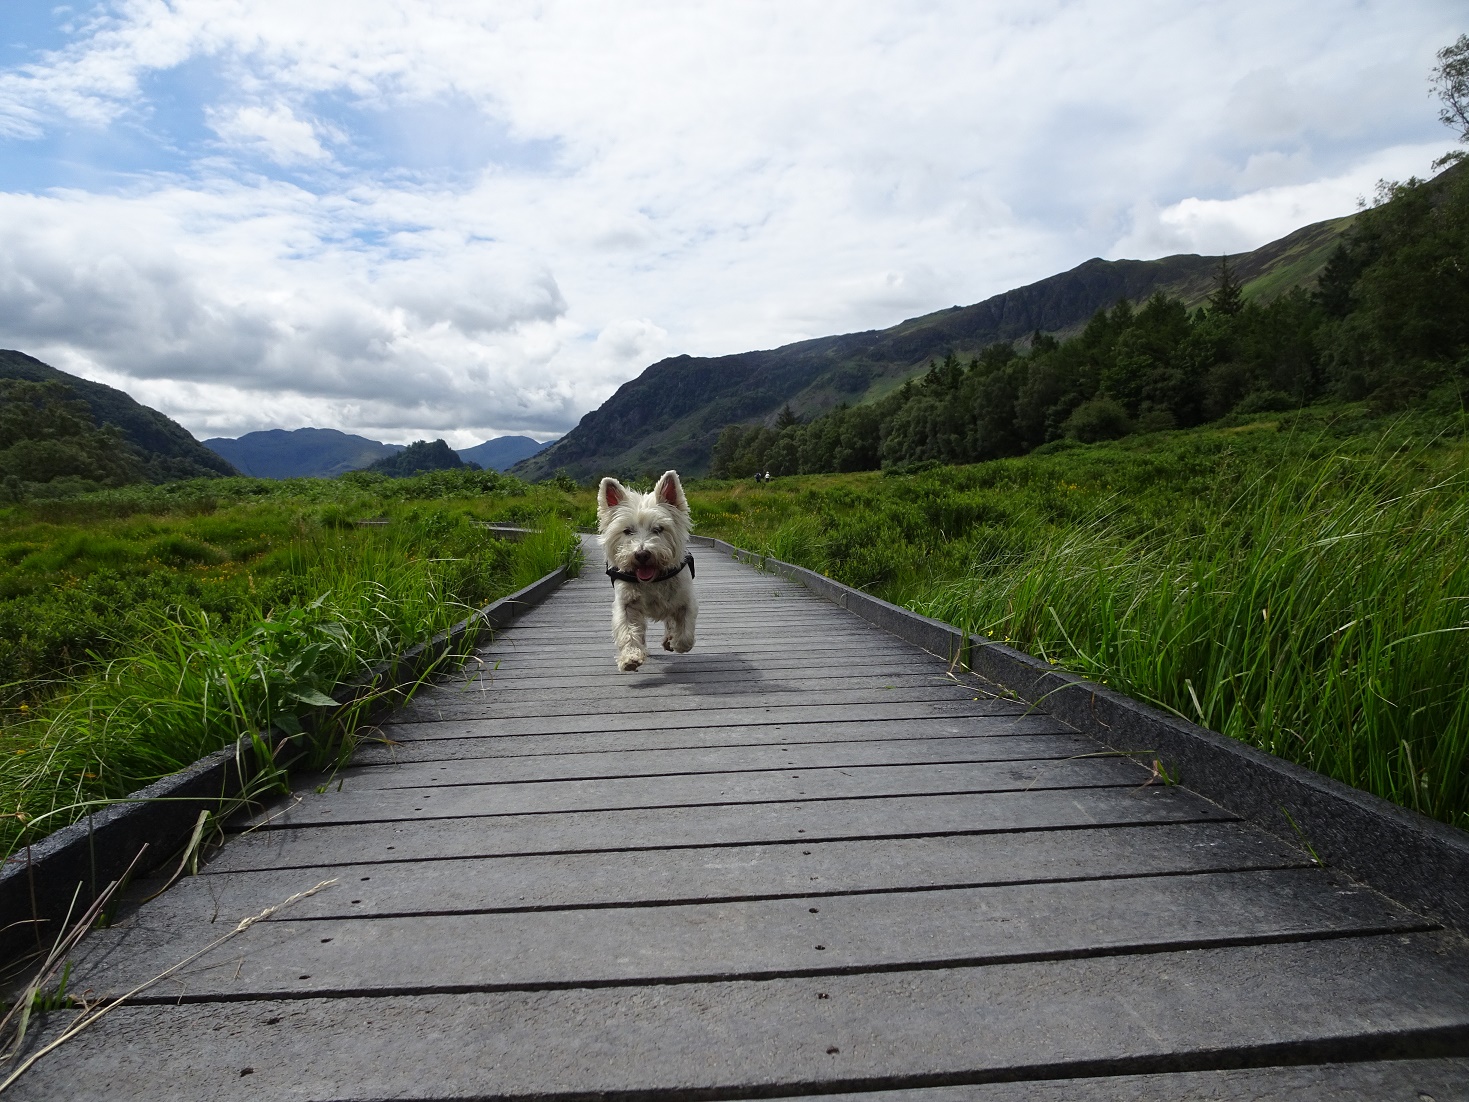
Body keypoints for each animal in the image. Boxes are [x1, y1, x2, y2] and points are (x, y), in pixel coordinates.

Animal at [593, 467, 696, 672]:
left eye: (658, 529)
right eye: (627, 531)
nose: (641, 554)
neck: (652, 581)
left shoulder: (685, 599)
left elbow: (685, 629)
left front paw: (678, 642)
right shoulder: (626, 604)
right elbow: (628, 631)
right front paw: (631, 657)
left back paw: (669, 640)